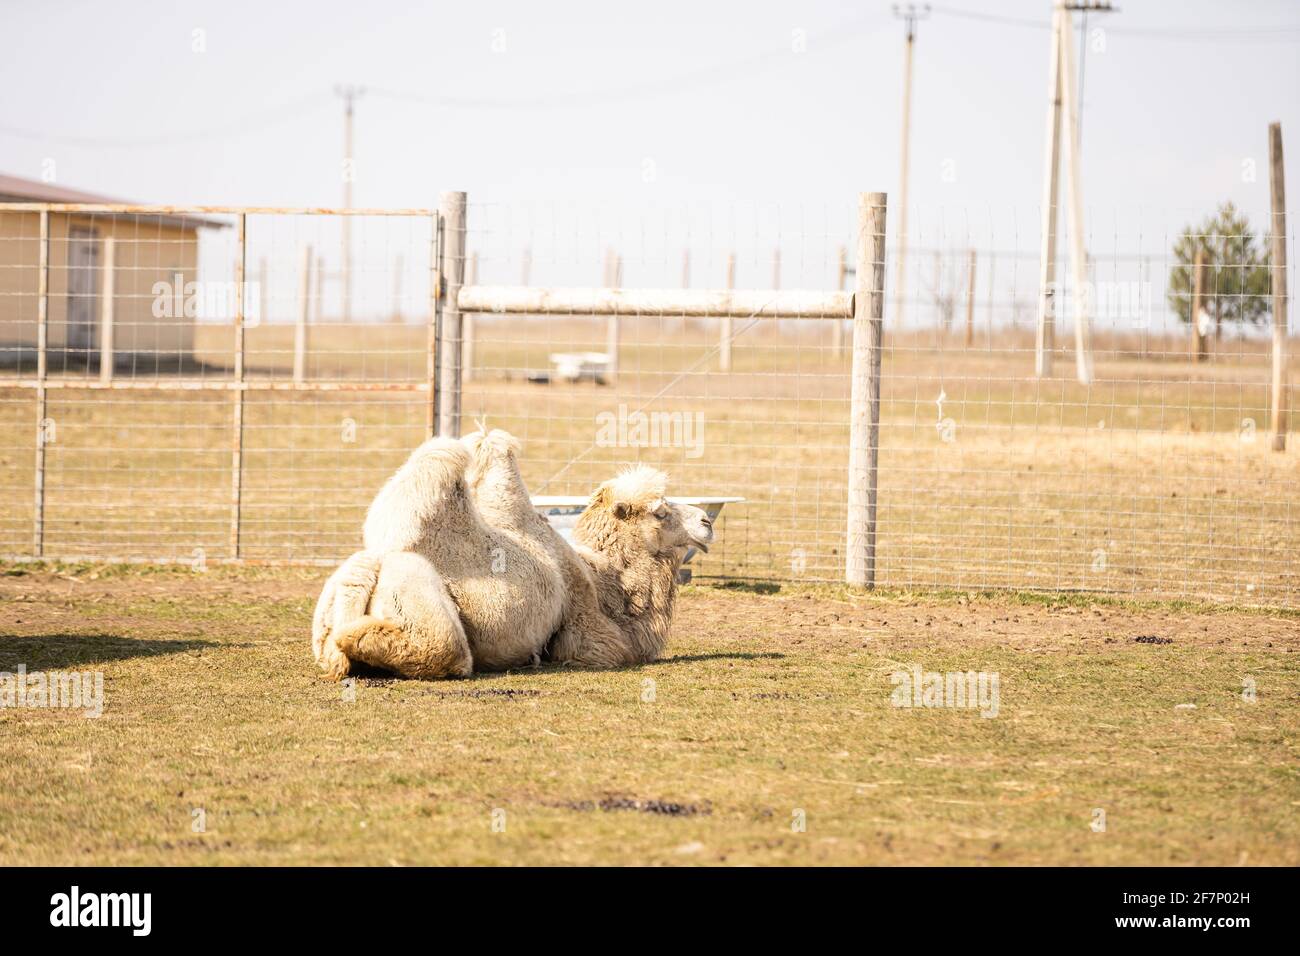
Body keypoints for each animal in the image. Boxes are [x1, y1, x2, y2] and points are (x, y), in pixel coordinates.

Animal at [310, 426, 712, 681]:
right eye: (660, 511)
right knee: (439, 649)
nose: (707, 521)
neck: (603, 579)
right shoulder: (586, 630)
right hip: (420, 600)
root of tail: (373, 565)